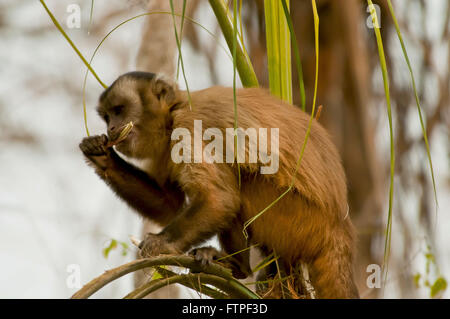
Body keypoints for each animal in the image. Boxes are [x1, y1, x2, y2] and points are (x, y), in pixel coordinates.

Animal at [80, 71, 358, 298]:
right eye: (107, 116)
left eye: (119, 109)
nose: (112, 126)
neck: (173, 114)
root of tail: (340, 225)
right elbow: (169, 205)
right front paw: (101, 156)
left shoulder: (189, 125)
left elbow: (218, 199)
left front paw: (161, 244)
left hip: (303, 222)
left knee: (242, 182)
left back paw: (239, 267)